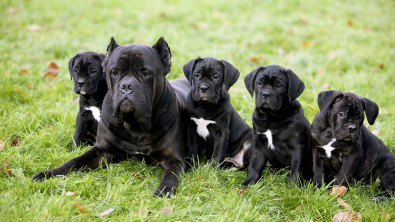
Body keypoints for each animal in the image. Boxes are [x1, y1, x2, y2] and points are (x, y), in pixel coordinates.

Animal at [33, 36, 191, 198]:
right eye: (115, 72)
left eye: (145, 73)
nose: (126, 86)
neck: (134, 125)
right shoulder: (102, 151)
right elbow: (74, 161)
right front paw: (48, 173)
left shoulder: (174, 159)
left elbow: (170, 177)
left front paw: (162, 192)